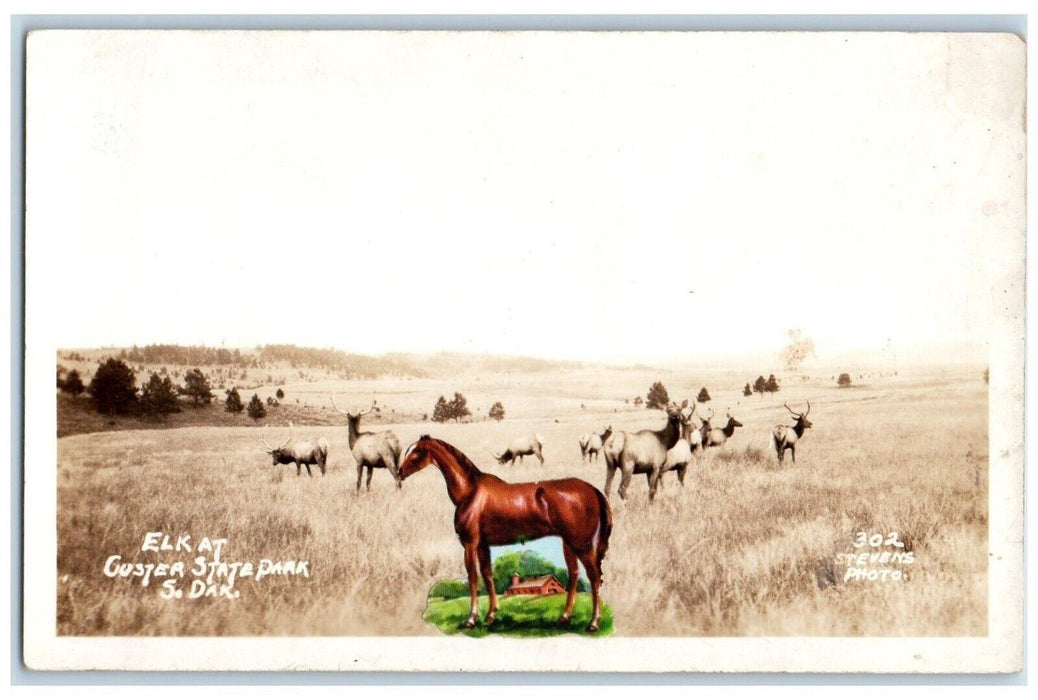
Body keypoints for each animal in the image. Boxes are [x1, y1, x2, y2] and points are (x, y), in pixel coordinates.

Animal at [394, 434, 606, 631]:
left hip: (581, 544)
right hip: (568, 543)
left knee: (594, 576)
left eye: (417, 451)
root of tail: (592, 490)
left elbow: (473, 577)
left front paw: (471, 619)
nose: (399, 473)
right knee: (574, 574)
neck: (470, 492)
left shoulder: (469, 544)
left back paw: (594, 622)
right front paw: (491, 615)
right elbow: (487, 576)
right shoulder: (483, 546)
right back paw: (564, 617)